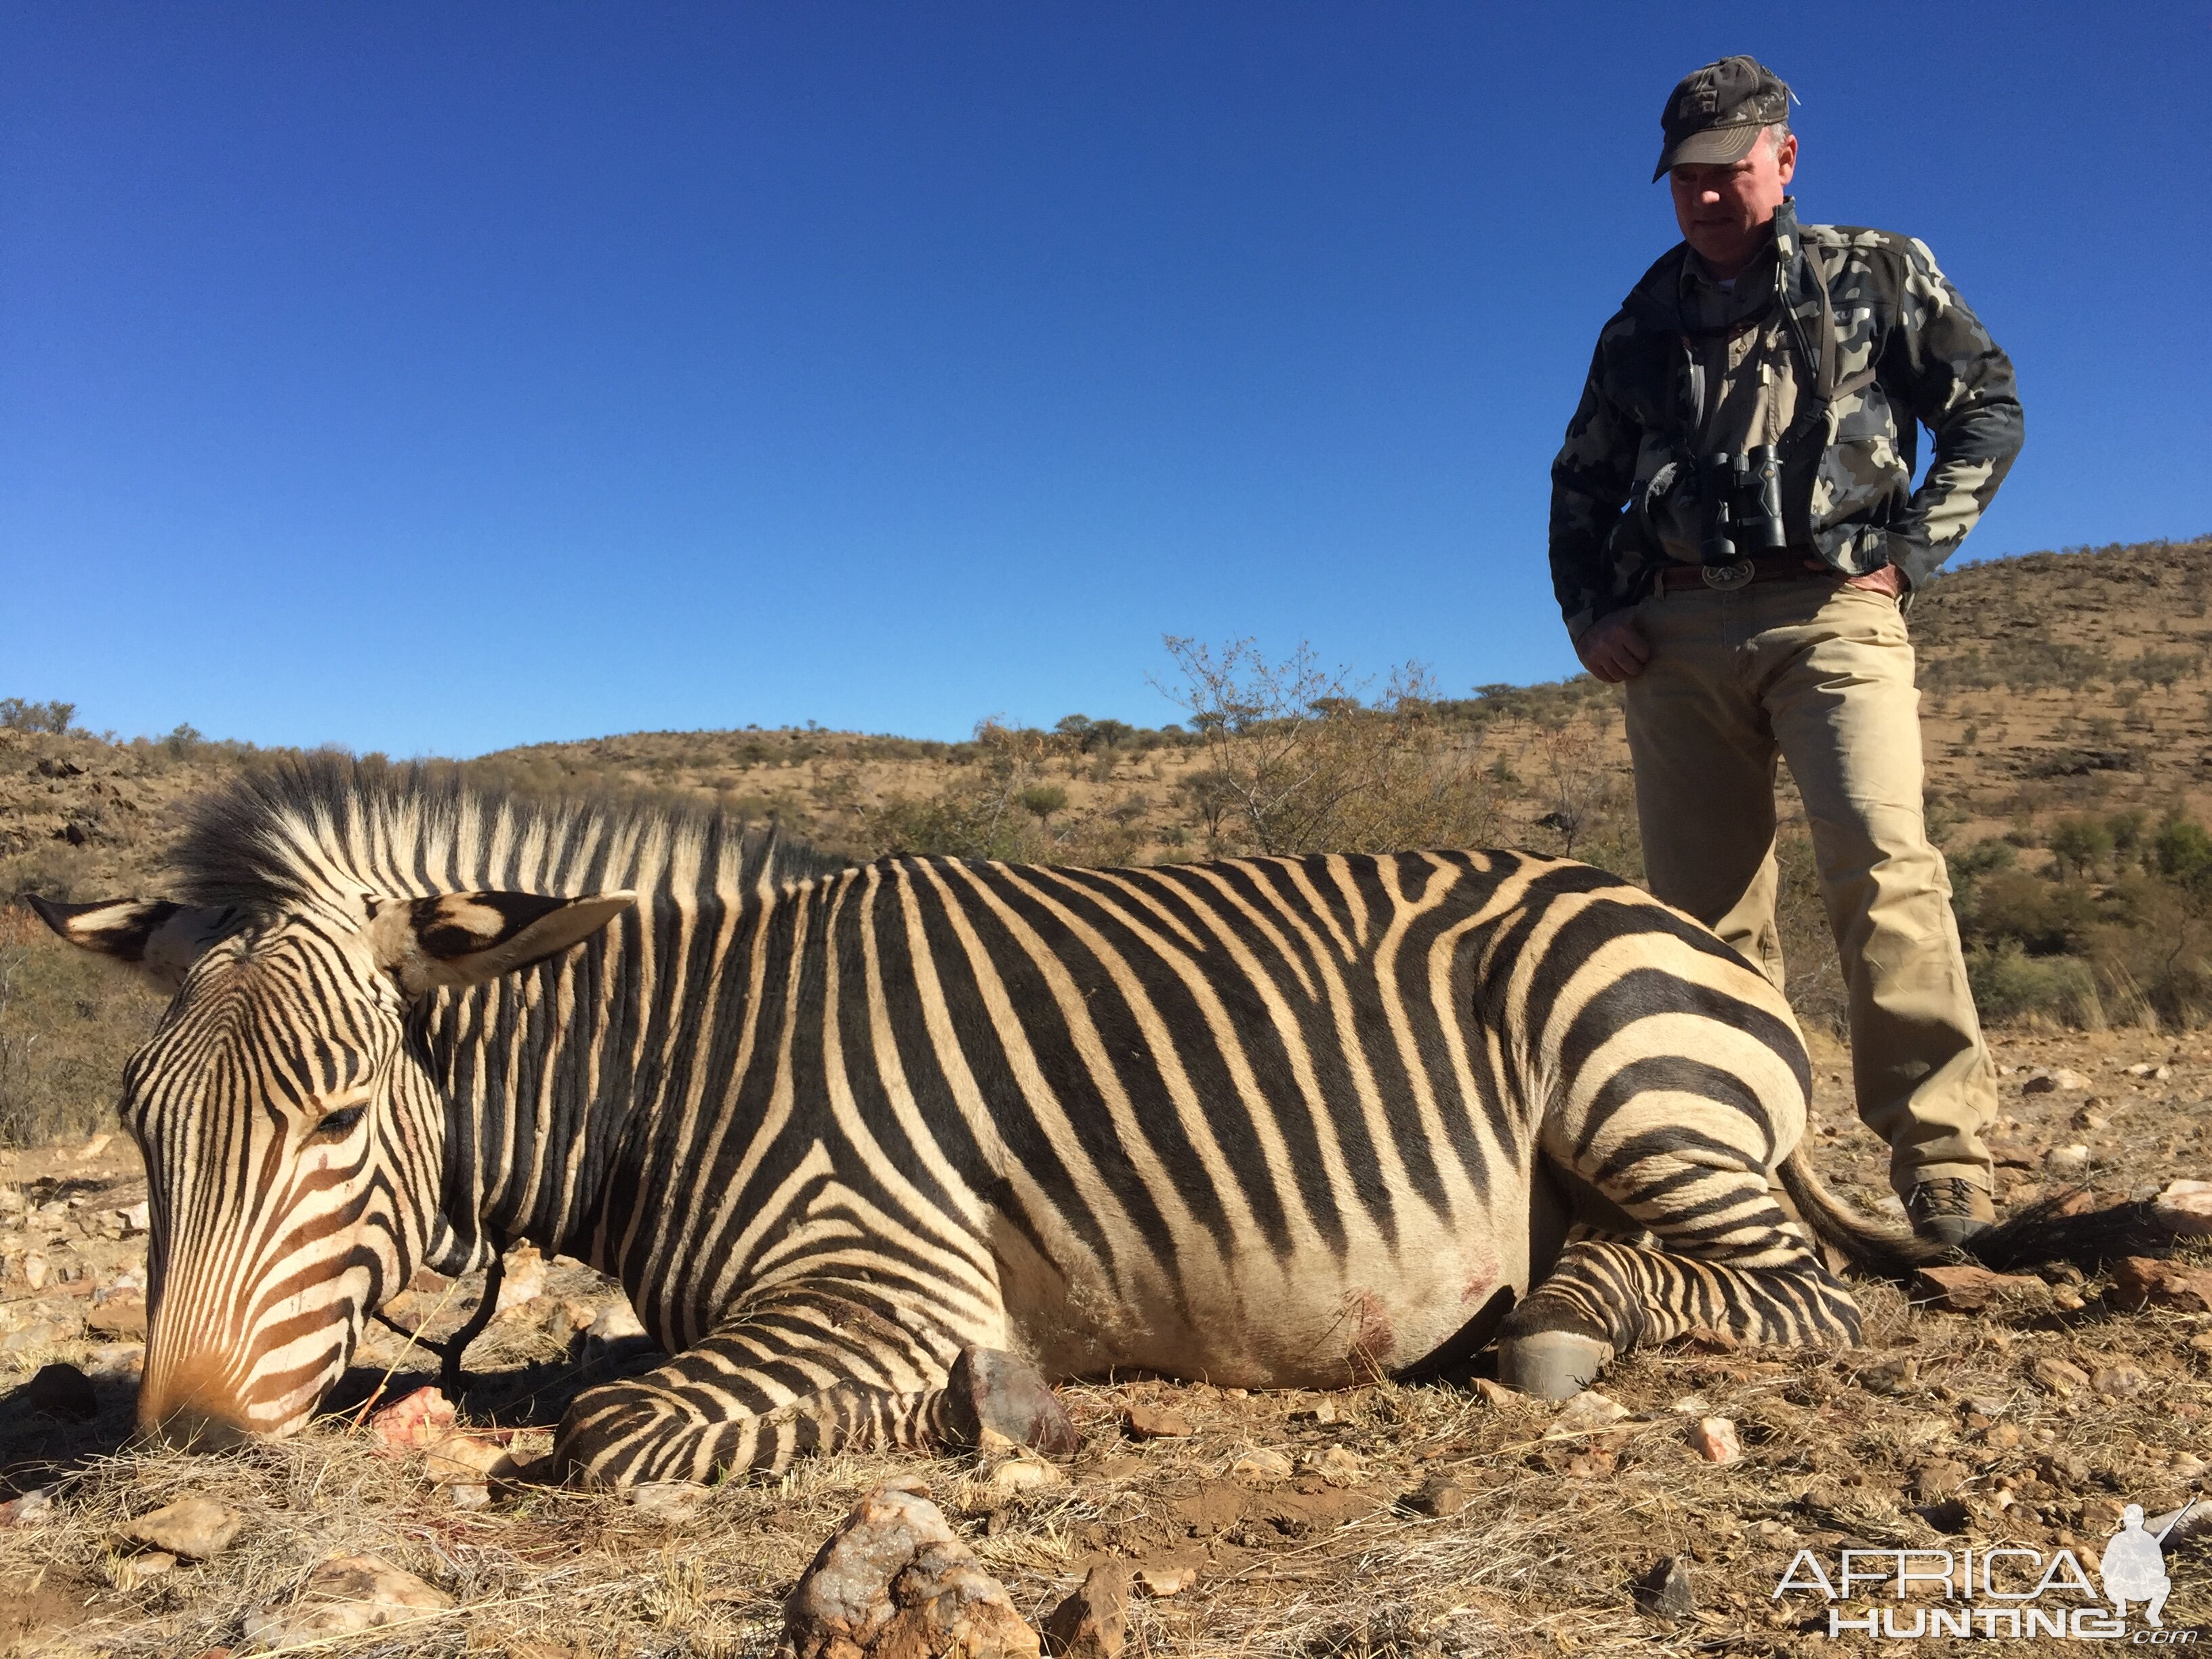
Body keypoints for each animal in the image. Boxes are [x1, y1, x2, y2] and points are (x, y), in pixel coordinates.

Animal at [30, 760, 2176, 1486]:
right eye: (138, 1129)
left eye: (333, 1117)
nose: (181, 1436)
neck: (676, 1066)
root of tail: (1681, 929)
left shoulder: (888, 1272)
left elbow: (621, 1425)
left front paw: (1004, 1407)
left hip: (1618, 1071)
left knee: (1799, 1294)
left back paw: (1561, 1323)